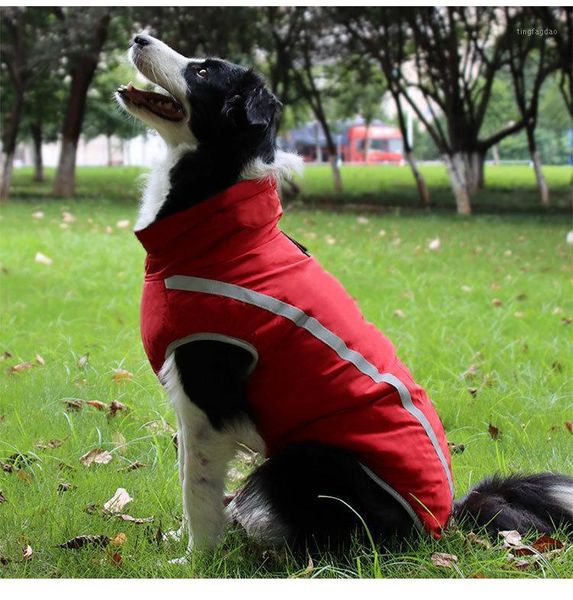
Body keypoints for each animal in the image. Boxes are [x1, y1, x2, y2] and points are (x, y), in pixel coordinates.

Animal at [116, 34, 572, 556]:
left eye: (204, 71)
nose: (138, 37)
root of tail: (444, 522)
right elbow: (186, 474)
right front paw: (179, 543)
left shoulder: (207, 398)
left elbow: (197, 487)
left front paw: (195, 558)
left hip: (308, 455)